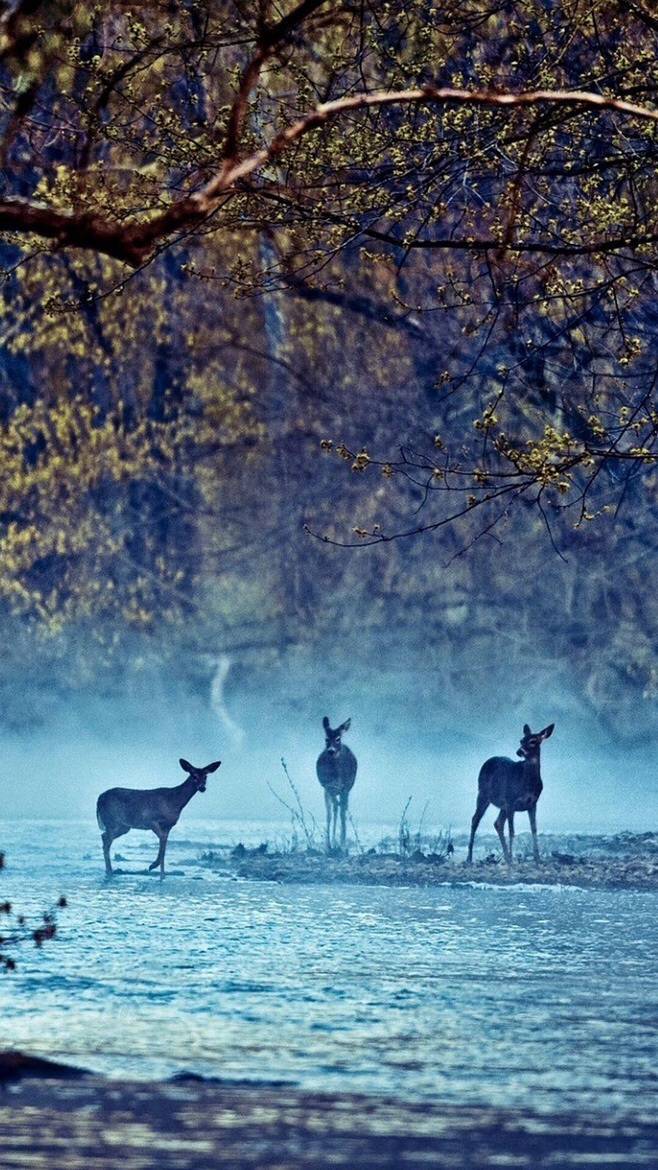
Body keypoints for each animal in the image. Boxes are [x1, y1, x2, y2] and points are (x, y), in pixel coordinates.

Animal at [316, 711, 355, 851]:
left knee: (341, 809)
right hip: (327, 790)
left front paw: (342, 843)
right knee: (331, 811)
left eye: (338, 739)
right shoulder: (328, 786)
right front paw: (331, 843)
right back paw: (330, 843)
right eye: (326, 739)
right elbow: (332, 812)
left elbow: (342, 812)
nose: (331, 751)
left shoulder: (345, 788)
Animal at [463, 720, 550, 870]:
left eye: (533, 741)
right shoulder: (511, 801)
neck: (527, 782)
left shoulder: (532, 803)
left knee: (497, 823)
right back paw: (469, 858)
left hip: (501, 805)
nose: (519, 751)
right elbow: (512, 831)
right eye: (521, 740)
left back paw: (506, 857)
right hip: (483, 794)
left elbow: (534, 829)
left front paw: (538, 860)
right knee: (475, 819)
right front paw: (513, 861)